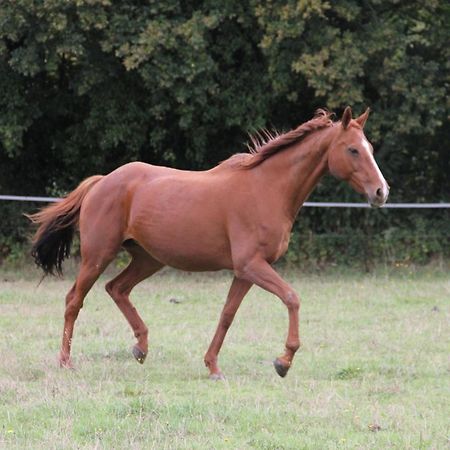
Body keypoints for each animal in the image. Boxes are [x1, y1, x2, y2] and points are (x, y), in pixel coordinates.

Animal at [28, 107, 388, 378]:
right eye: (353, 149)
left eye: (370, 148)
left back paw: (141, 348)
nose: (381, 192)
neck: (267, 188)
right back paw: (66, 362)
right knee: (74, 300)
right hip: (98, 256)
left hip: (148, 259)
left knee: (117, 289)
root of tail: (102, 181)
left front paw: (213, 366)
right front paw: (283, 361)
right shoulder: (252, 265)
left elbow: (227, 315)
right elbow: (291, 298)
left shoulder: (245, 272)